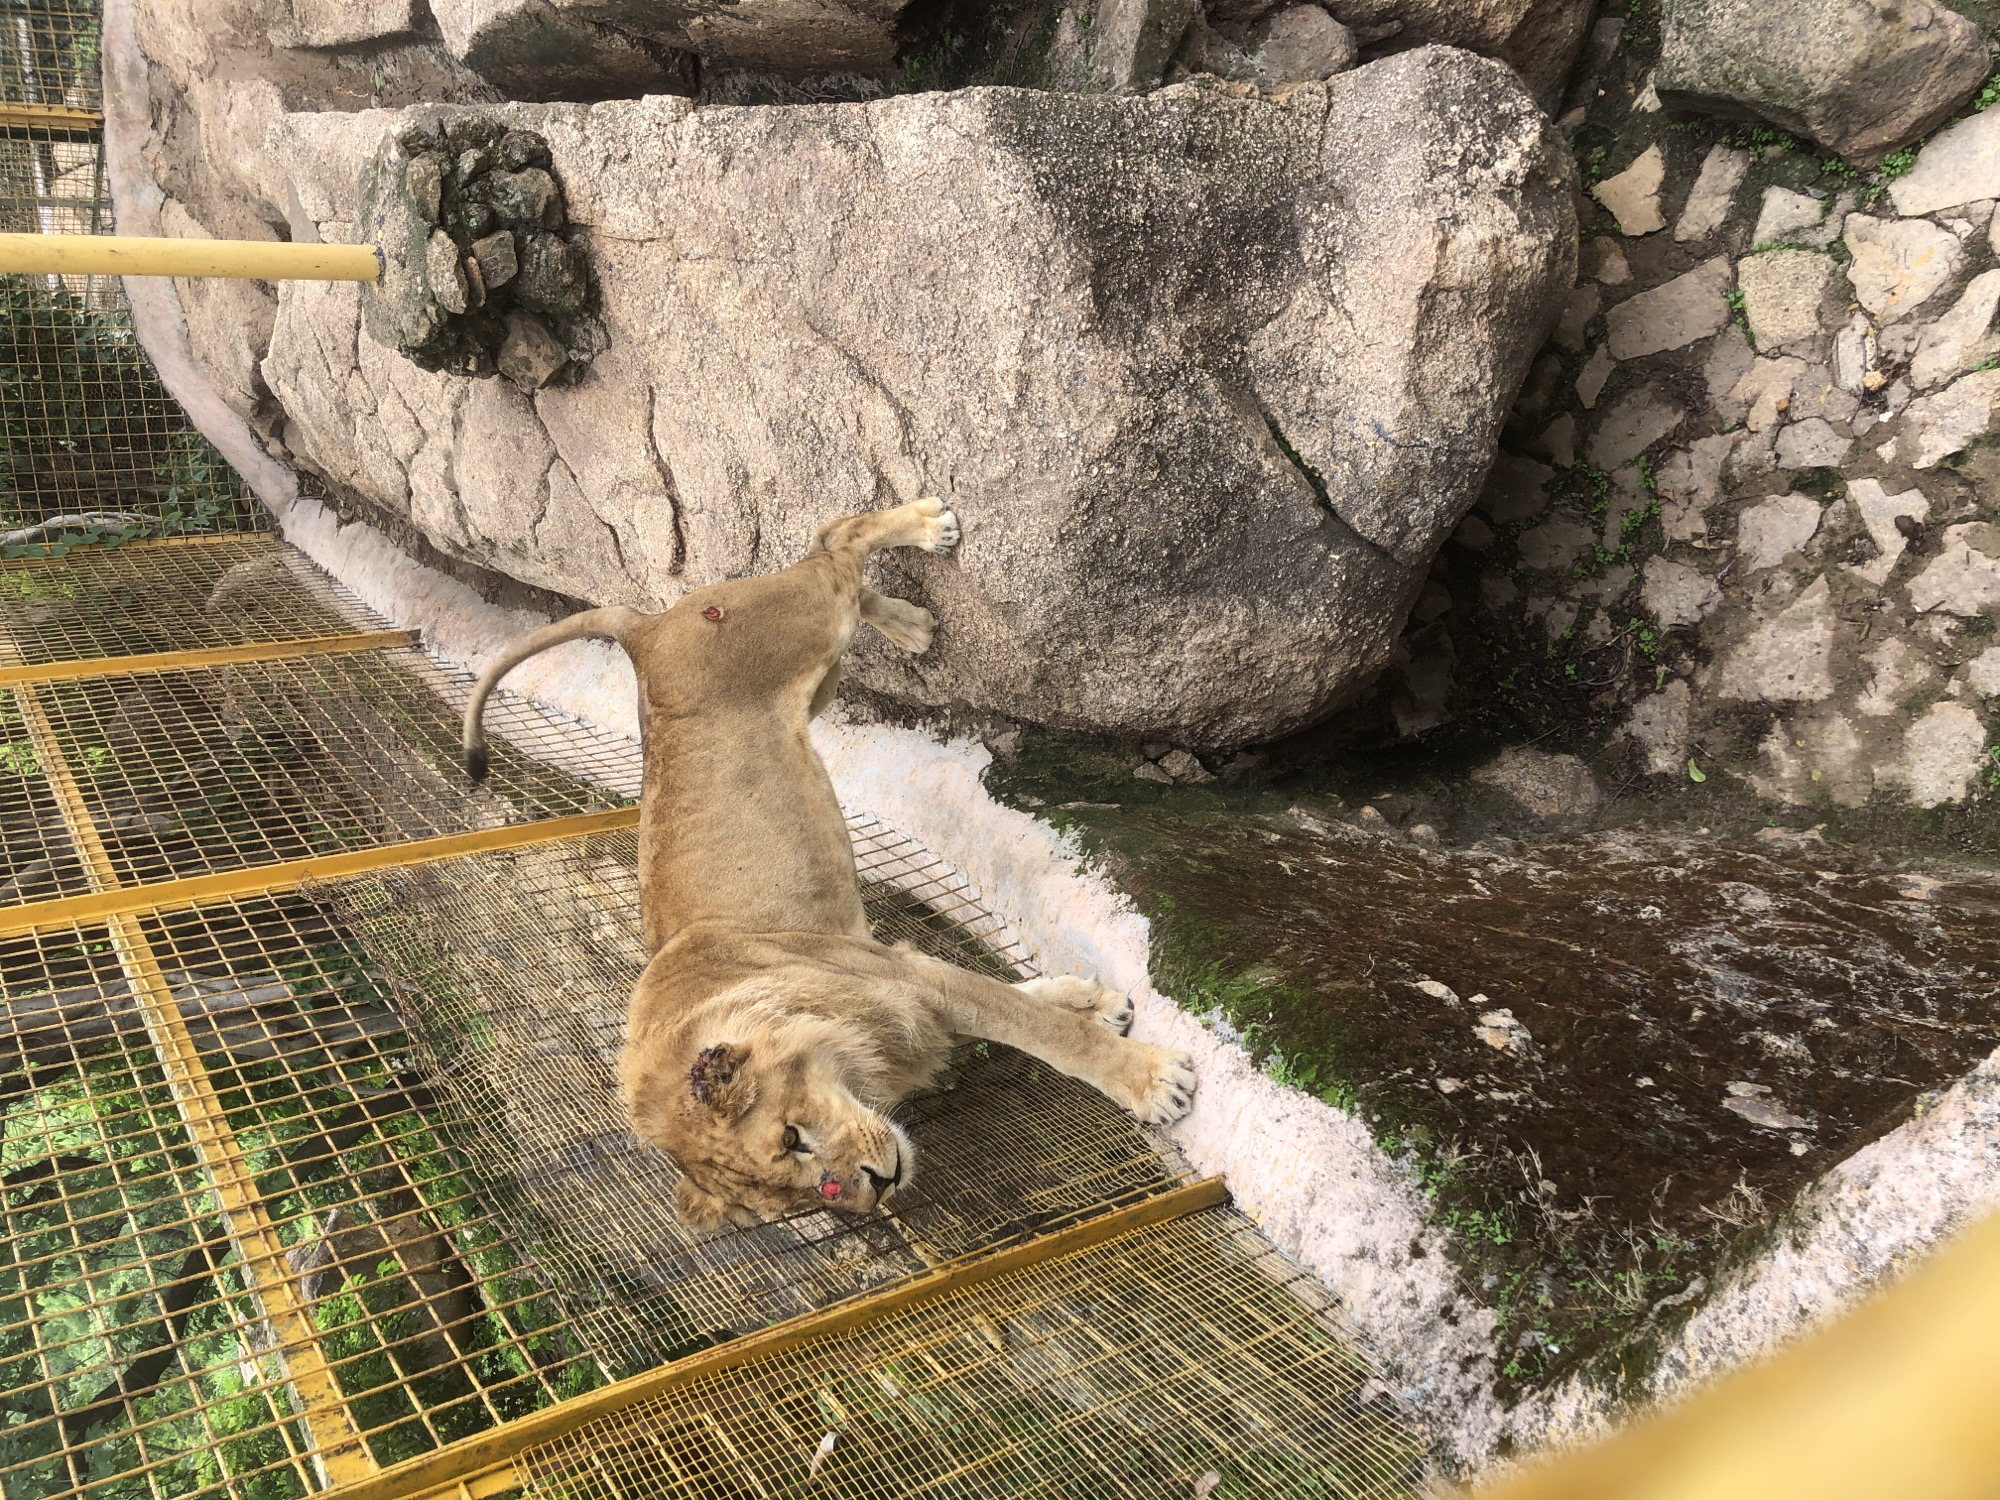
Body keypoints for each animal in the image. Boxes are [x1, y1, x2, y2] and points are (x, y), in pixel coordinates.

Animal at [462, 498, 1196, 1229]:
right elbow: (1021, 1001)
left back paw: (928, 530)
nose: (873, 1188)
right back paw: (911, 625)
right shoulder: (905, 980)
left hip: (809, 621)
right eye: (805, 1197)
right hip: (817, 681)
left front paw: (1153, 1081)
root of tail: (644, 629)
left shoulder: (902, 982)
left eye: (792, 1138)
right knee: (837, 560)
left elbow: (1043, 1032)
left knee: (835, 542)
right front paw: (1097, 1002)